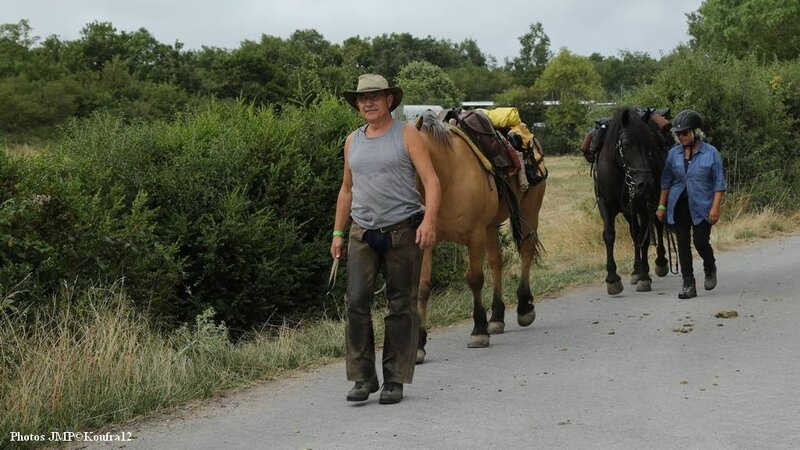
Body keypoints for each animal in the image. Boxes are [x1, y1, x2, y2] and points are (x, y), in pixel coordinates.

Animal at [412, 111, 544, 362]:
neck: (447, 179)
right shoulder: (426, 241)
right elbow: (422, 287)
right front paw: (418, 344)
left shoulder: (474, 235)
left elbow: (474, 278)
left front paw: (479, 331)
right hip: (490, 227)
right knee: (496, 262)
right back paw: (497, 317)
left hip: (529, 210)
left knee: (526, 250)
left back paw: (524, 307)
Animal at [592, 106, 672, 296]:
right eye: (627, 143)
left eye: (650, 144)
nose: (645, 183)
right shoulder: (605, 205)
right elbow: (609, 235)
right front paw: (612, 278)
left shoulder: (644, 205)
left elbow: (644, 237)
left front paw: (645, 277)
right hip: (629, 211)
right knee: (634, 233)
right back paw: (636, 270)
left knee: (656, 227)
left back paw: (659, 262)